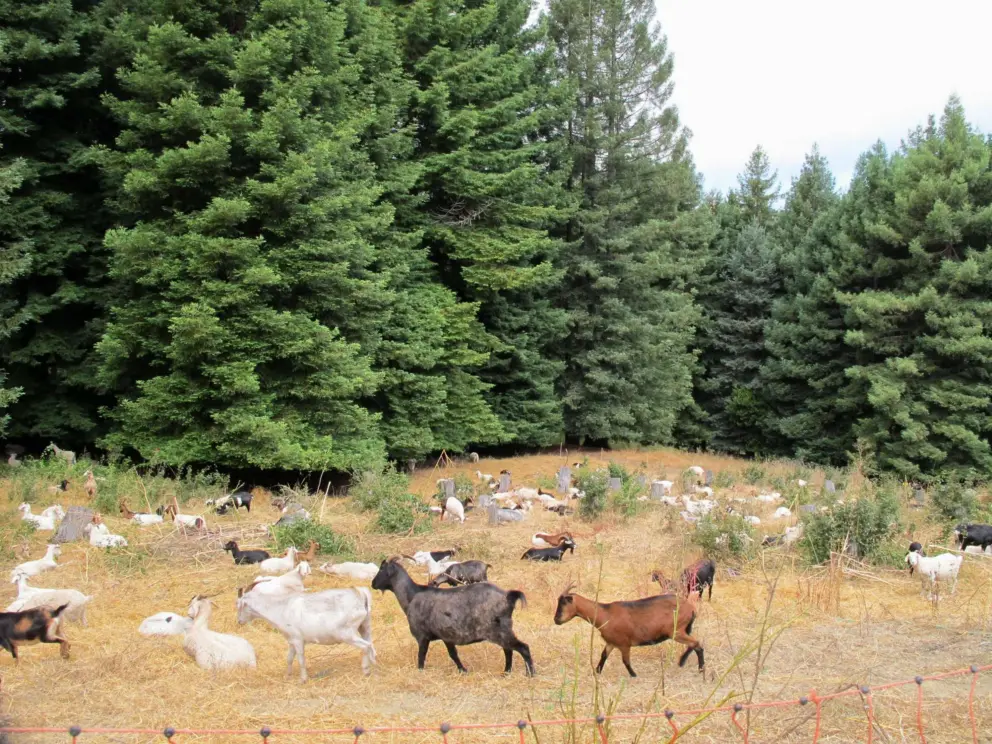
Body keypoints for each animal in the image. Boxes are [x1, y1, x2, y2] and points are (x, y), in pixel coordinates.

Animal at [236, 582, 375, 681]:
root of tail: (361, 595)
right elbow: (289, 658)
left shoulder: (298, 639)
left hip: (346, 633)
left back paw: (366, 670)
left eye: (239, 605)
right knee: (370, 645)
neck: (280, 608)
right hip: (365, 626)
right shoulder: (292, 640)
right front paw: (287, 676)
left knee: (365, 646)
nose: (239, 621)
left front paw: (303, 679)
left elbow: (301, 659)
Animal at [371, 558, 533, 675]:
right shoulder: (447, 636)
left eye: (381, 569)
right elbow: (453, 654)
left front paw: (420, 672)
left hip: (500, 631)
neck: (412, 595)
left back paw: (530, 673)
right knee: (508, 650)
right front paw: (463, 670)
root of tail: (508, 596)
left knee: (522, 647)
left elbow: (421, 656)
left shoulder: (422, 636)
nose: (373, 583)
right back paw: (506, 672)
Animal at [554, 584, 703, 676]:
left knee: (696, 644)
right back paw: (691, 665)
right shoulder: (611, 643)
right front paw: (597, 672)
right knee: (695, 645)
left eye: (563, 602)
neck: (605, 614)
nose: (556, 620)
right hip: (681, 631)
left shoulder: (624, 644)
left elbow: (625, 661)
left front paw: (634, 675)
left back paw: (692, 665)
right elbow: (603, 656)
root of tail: (691, 608)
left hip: (676, 631)